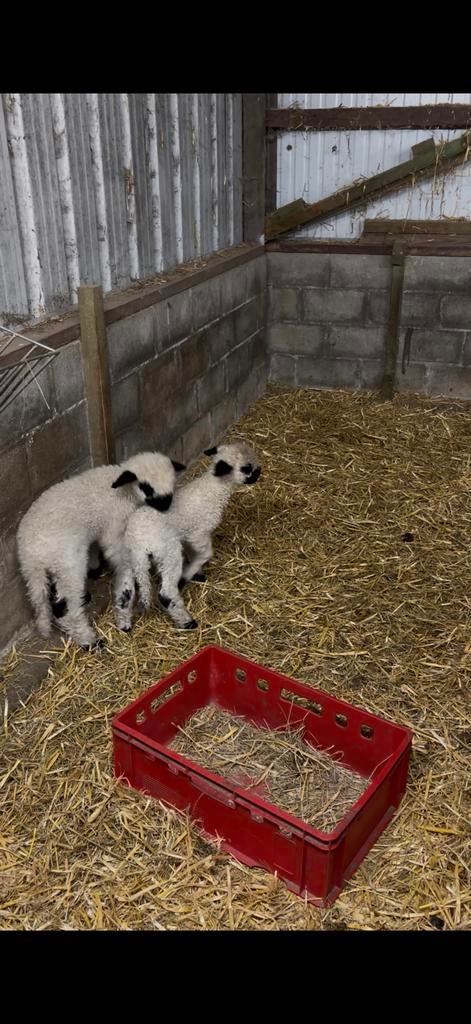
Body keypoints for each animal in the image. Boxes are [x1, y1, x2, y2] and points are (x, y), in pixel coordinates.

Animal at [16, 451, 185, 650]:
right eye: (145, 487)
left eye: (171, 481)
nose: (165, 505)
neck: (124, 492)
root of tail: (30, 555)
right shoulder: (114, 529)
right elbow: (118, 555)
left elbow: (94, 549)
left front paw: (95, 568)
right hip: (67, 565)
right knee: (66, 608)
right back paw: (90, 641)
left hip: (44, 573)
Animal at [119, 442, 261, 632]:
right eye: (246, 468)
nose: (259, 471)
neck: (214, 489)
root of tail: (139, 544)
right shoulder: (199, 533)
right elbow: (206, 554)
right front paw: (188, 574)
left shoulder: (187, 534)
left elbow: (193, 553)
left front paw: (197, 573)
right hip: (168, 553)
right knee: (166, 593)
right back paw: (187, 622)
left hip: (132, 562)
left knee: (126, 594)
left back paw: (125, 625)